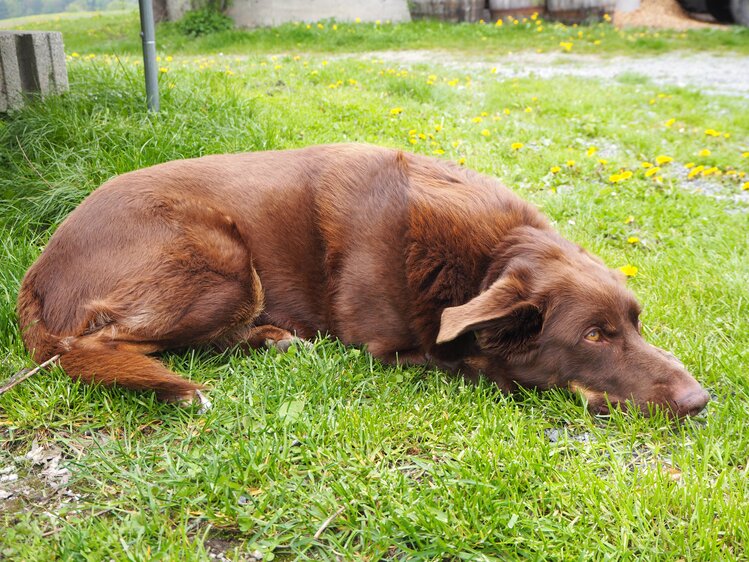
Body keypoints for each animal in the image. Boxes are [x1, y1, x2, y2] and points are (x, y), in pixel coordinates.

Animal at [16, 143, 708, 416]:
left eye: (636, 322)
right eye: (593, 336)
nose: (702, 401)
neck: (483, 257)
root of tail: (37, 273)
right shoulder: (390, 350)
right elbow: (465, 359)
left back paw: (274, 338)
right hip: (225, 265)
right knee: (93, 346)